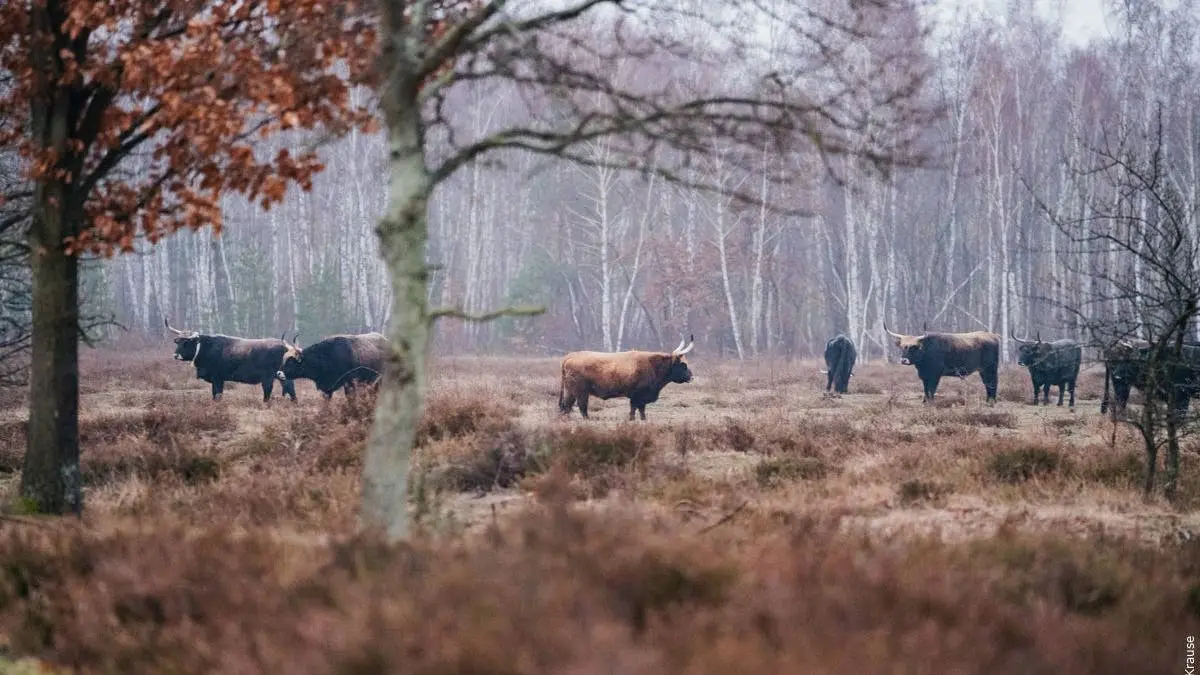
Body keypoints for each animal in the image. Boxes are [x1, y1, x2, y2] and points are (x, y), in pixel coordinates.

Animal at [164, 314, 297, 398]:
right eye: (178, 342)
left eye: (187, 342)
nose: (176, 355)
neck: (206, 348)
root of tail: (286, 346)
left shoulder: (217, 378)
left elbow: (217, 396)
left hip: (270, 378)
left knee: (270, 392)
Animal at [559, 333, 700, 417]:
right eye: (683, 365)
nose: (691, 377)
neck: (653, 365)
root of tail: (571, 356)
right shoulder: (638, 396)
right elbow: (634, 411)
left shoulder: (639, 398)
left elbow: (640, 412)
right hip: (580, 392)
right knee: (581, 407)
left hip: (570, 392)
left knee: (567, 407)